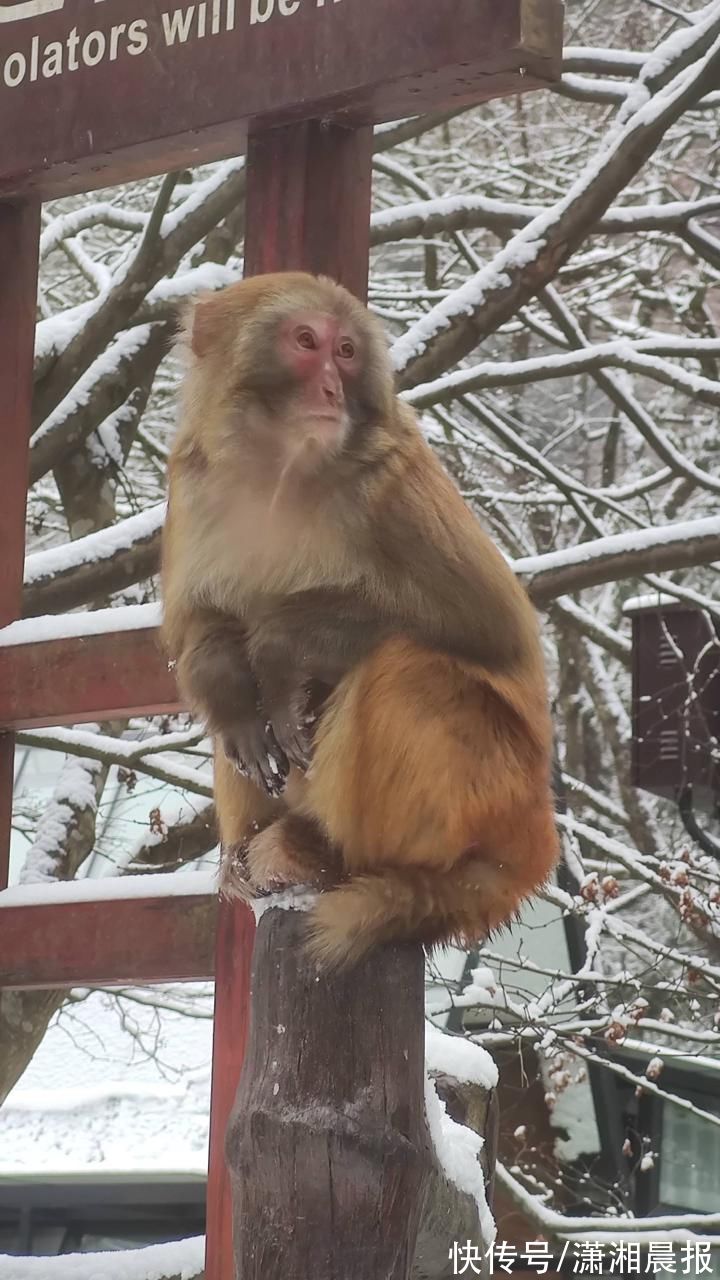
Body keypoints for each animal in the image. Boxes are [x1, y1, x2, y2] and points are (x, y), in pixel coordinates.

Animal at [159, 272, 558, 967]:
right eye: (305, 341)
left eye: (346, 351)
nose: (331, 388)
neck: (278, 472)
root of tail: (533, 837)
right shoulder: (193, 483)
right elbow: (199, 626)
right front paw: (229, 687)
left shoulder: (390, 487)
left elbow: (489, 629)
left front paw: (280, 647)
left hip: (493, 791)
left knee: (407, 664)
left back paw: (332, 855)